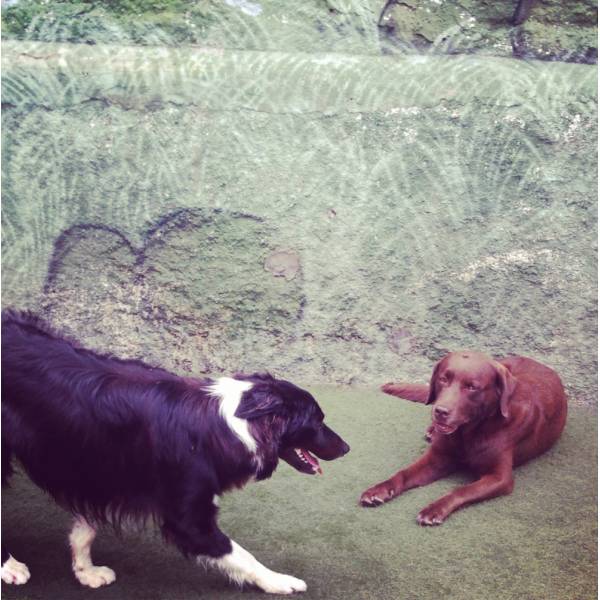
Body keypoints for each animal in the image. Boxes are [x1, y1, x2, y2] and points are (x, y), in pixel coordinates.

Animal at [1, 312, 346, 592]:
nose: (347, 448)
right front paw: (279, 581)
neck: (232, 421)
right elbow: (239, 553)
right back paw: (10, 566)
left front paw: (86, 571)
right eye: (317, 421)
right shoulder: (189, 516)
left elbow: (85, 528)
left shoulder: (100, 465)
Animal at [360, 352, 568, 524]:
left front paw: (434, 509)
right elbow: (403, 473)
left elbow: (463, 490)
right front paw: (380, 489)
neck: (468, 433)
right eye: (443, 379)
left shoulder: (500, 478)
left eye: (472, 387)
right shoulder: (437, 458)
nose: (440, 411)